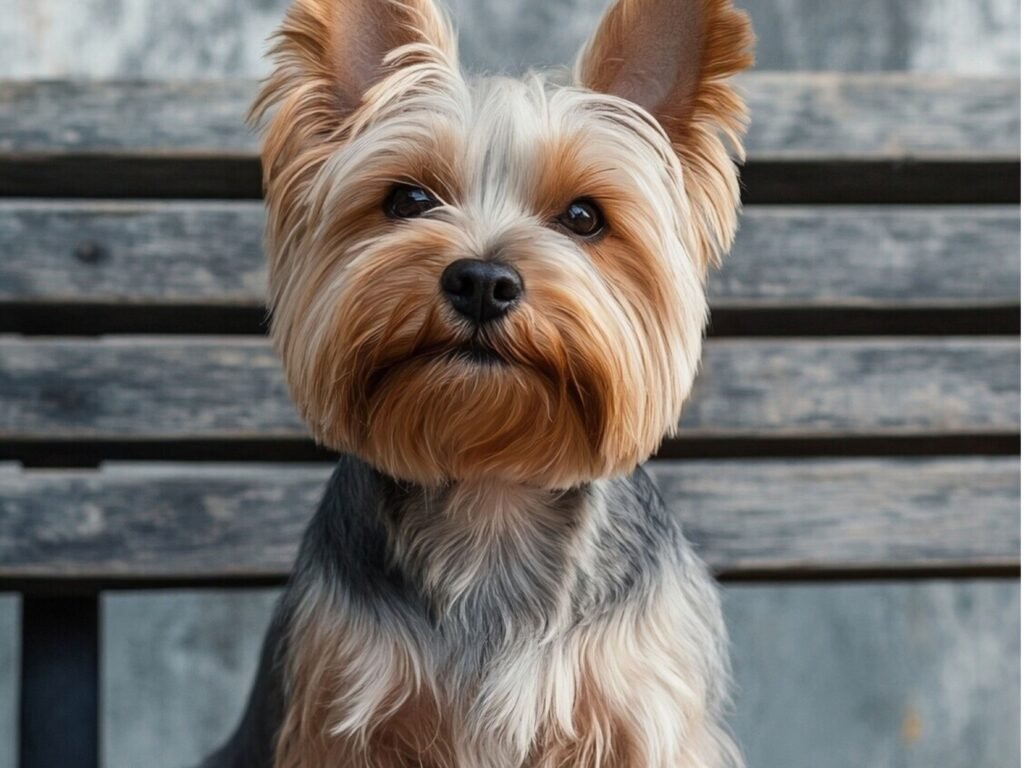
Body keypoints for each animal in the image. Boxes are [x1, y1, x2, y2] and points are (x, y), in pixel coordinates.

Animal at [203, 0, 757, 765]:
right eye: (407, 199)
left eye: (584, 216)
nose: (482, 281)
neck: (492, 493)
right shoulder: (338, 711)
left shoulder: (643, 714)